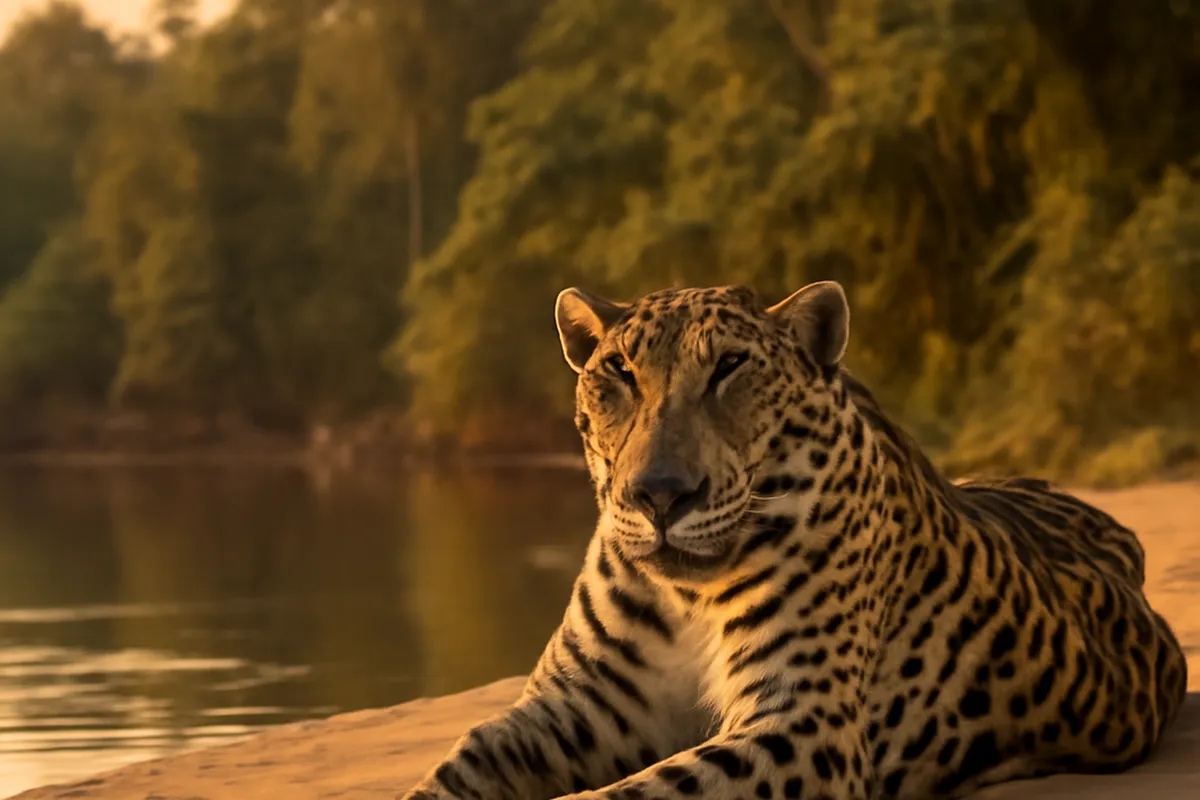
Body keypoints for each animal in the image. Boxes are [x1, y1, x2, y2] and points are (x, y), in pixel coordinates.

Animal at [400, 281, 1188, 800]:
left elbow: (638, 793)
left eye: (729, 368)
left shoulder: (802, 724)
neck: (686, 594)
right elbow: (465, 758)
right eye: (619, 373)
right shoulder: (578, 706)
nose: (660, 494)